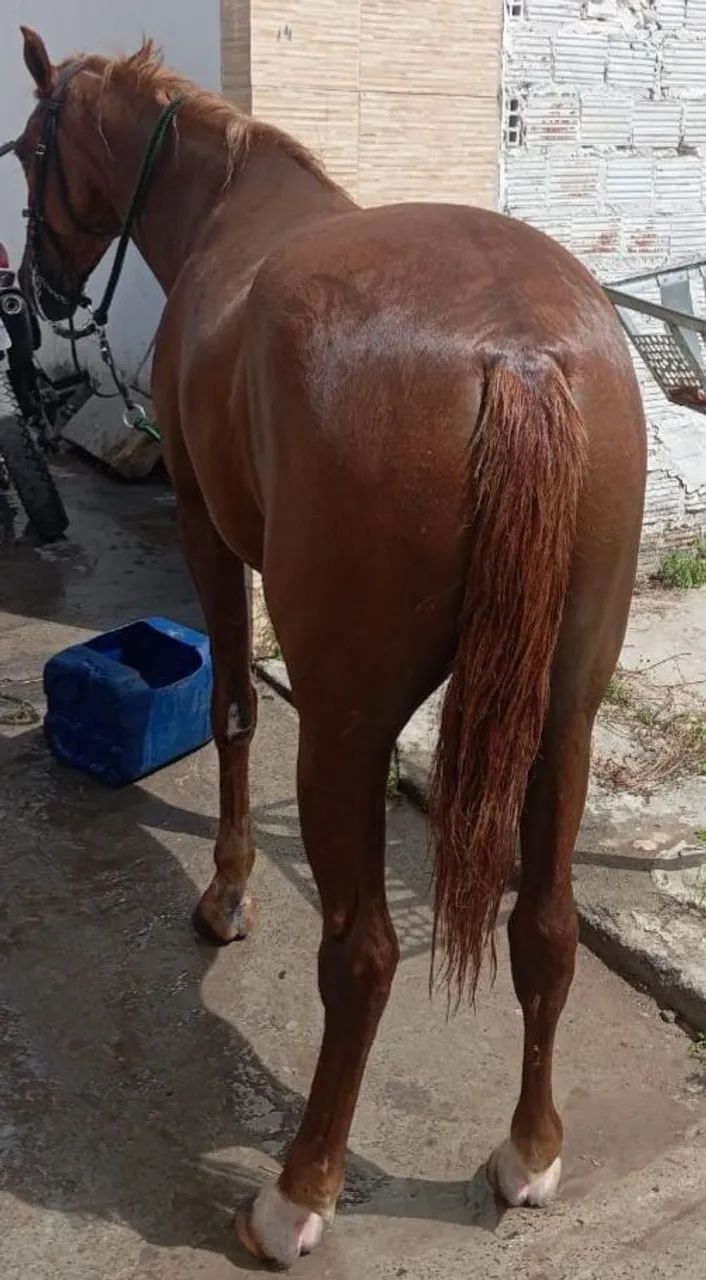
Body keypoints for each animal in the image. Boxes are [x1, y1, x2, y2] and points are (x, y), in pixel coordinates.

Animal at [12, 27, 646, 1267]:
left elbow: (232, 710)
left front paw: (225, 894)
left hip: (347, 724)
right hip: (566, 711)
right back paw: (529, 1152)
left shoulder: (206, 528)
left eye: (24, 150)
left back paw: (297, 1189)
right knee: (544, 927)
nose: (37, 293)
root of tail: (517, 354)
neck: (226, 202)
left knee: (362, 956)